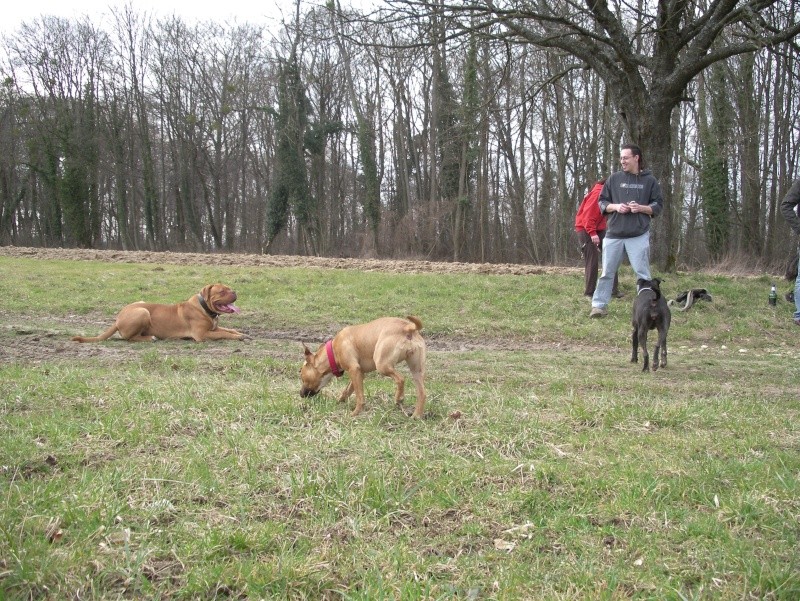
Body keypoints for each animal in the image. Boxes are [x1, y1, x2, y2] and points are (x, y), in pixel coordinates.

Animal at [72, 282, 247, 340]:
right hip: (143, 312)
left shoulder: (213, 327)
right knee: (130, 338)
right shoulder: (202, 334)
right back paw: (151, 338)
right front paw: (238, 337)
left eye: (229, 288)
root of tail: (118, 319)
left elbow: (227, 329)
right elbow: (223, 333)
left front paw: (240, 333)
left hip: (141, 304)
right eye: (222, 292)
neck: (204, 307)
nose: (235, 292)